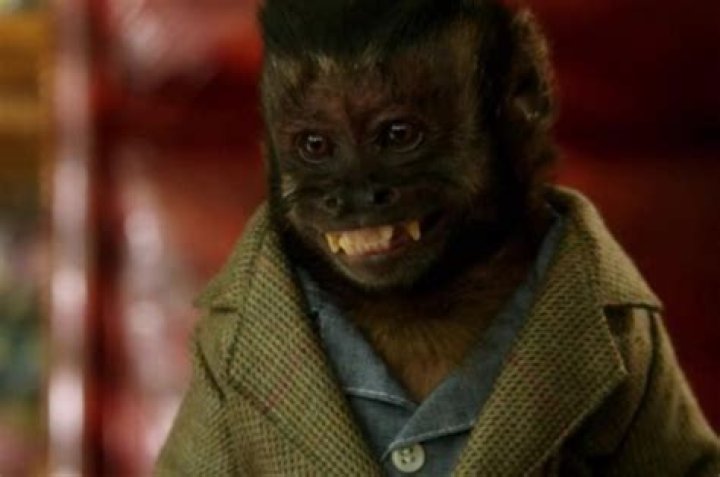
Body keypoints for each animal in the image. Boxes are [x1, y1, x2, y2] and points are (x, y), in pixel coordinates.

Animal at [157, 1, 720, 475]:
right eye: (315, 145)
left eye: (398, 136)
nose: (354, 195)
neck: (420, 300)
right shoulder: (215, 348)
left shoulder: (642, 344)